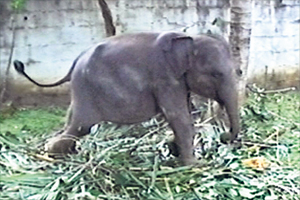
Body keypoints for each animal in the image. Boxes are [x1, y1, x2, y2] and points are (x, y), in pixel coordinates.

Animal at [14, 31, 240, 166]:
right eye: (216, 74)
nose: (224, 136)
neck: (189, 38)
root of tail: (76, 61)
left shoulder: (177, 82)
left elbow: (182, 115)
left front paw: (173, 149)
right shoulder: (165, 78)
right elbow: (178, 117)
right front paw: (195, 166)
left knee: (72, 122)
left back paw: (63, 153)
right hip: (86, 89)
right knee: (82, 126)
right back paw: (53, 153)